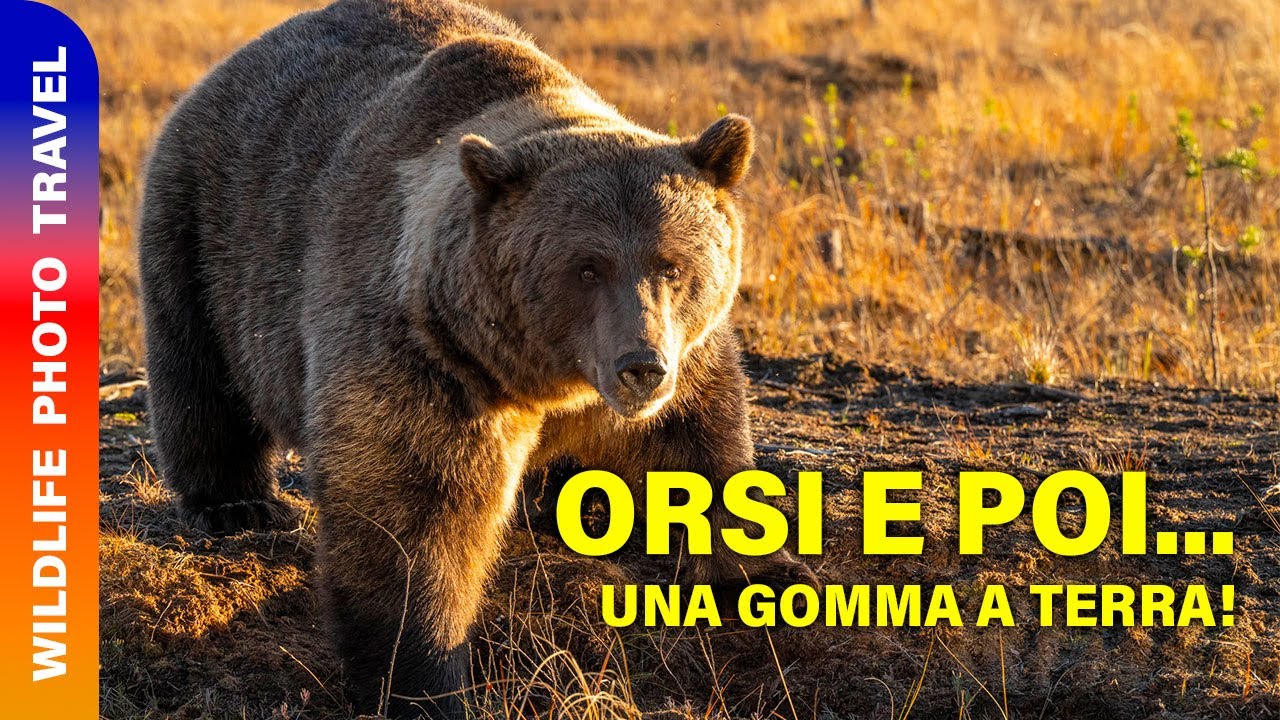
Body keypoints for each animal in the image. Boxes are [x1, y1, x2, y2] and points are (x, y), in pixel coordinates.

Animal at [138, 0, 815, 717]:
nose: (641, 366)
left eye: (673, 264)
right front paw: (424, 677)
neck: (550, 379)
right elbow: (414, 513)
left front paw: (770, 574)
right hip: (208, 228)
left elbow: (702, 447)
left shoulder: (683, 357)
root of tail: (241, 56)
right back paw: (236, 504)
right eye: (586, 267)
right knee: (199, 373)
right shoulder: (429, 361)